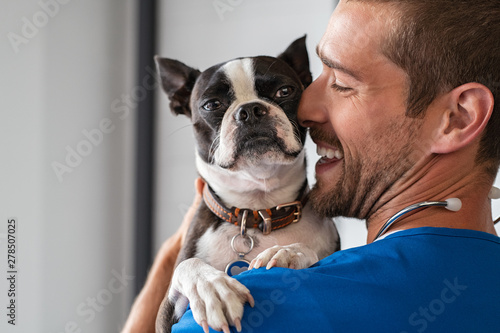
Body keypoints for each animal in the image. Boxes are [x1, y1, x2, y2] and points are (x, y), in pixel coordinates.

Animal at [153, 37, 340, 332]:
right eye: (212, 104)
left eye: (284, 91)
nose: (250, 110)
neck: (256, 210)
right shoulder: (164, 315)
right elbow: (188, 266)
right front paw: (212, 288)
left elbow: (309, 251)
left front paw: (288, 252)